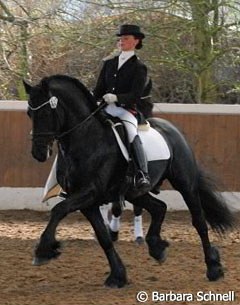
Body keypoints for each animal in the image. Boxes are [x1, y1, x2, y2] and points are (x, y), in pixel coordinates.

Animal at [23, 75, 234, 286]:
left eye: (46, 112)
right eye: (29, 113)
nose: (38, 153)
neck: (86, 139)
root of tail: (172, 130)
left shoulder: (90, 192)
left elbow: (58, 209)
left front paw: (43, 251)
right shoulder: (87, 202)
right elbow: (103, 237)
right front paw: (118, 275)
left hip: (185, 185)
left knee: (199, 222)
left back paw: (213, 268)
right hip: (134, 192)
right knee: (159, 207)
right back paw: (157, 247)